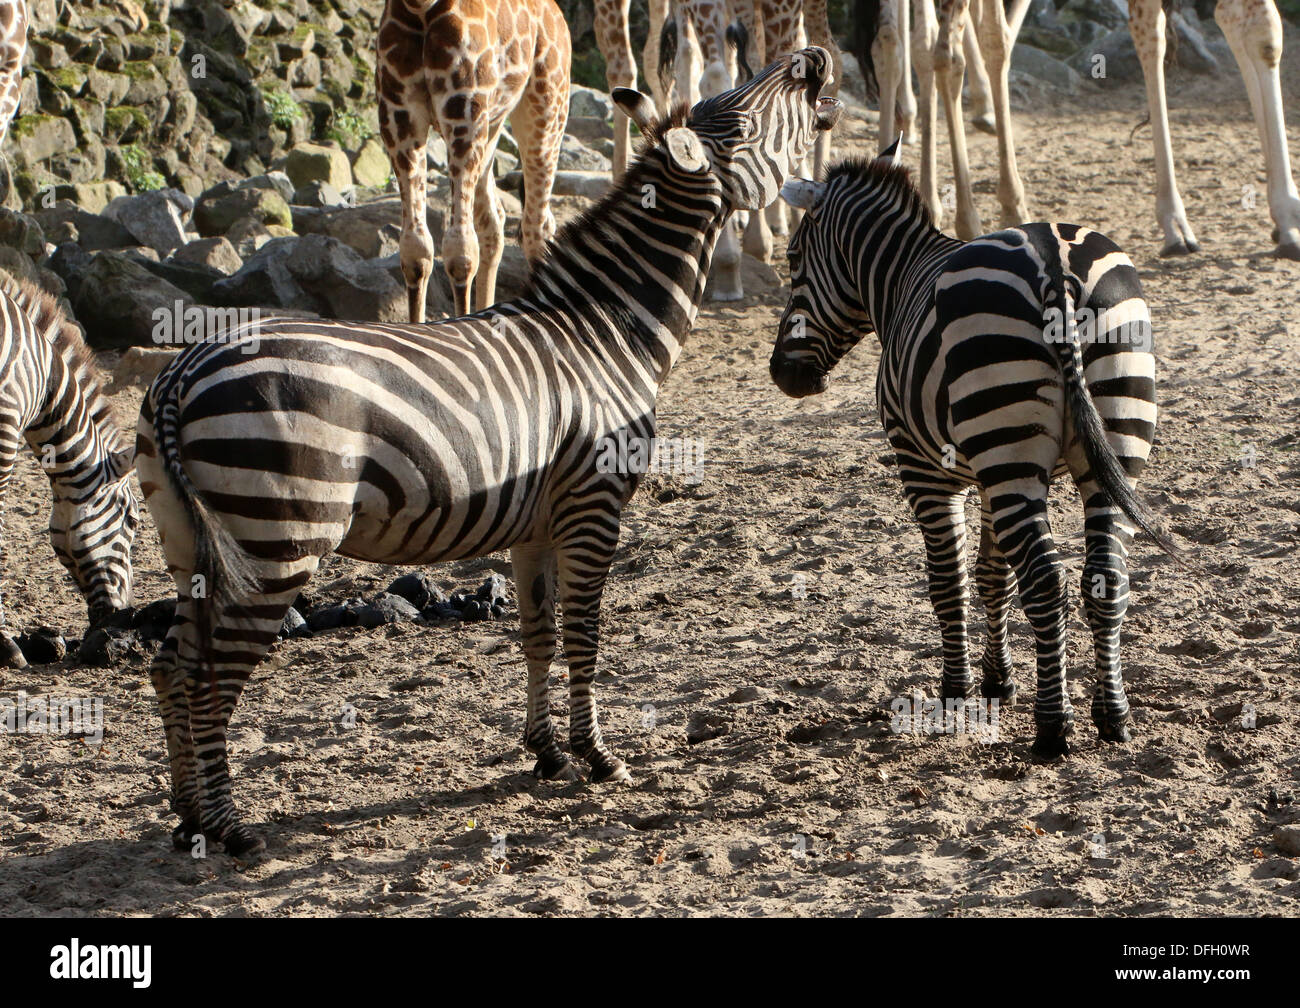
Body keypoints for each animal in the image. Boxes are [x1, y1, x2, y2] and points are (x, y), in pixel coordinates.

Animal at [135, 48, 842, 858]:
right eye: (746, 118)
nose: (813, 60)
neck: (607, 331)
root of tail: (181, 373)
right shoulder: (593, 508)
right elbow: (584, 633)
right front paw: (599, 757)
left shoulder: (535, 523)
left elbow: (538, 634)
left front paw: (547, 753)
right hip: (275, 537)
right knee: (213, 675)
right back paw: (230, 828)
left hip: (189, 541)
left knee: (173, 665)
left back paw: (188, 817)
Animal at [770, 141, 1180, 759]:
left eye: (794, 260)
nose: (782, 375)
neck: (898, 281)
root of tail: (1054, 262)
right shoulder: (991, 475)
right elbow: (992, 574)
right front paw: (997, 680)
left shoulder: (924, 468)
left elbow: (949, 580)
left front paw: (957, 689)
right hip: (1107, 446)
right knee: (1104, 578)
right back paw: (1113, 716)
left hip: (1007, 442)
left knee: (1047, 583)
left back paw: (1053, 729)